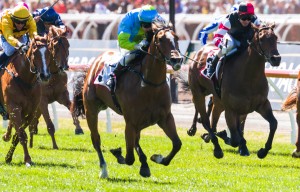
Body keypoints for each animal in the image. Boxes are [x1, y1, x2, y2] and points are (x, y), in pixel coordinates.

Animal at [0, 35, 51, 166]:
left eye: (49, 53)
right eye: (35, 53)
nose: (45, 76)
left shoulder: (30, 111)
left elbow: (18, 135)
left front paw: (9, 157)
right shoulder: (15, 107)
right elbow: (21, 134)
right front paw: (28, 159)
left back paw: (6, 136)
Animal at [71, 21, 183, 178]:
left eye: (176, 37)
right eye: (161, 39)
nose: (176, 59)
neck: (149, 84)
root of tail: (95, 63)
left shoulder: (165, 117)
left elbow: (177, 144)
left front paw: (157, 158)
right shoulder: (131, 122)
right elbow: (129, 158)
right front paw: (118, 153)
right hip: (91, 110)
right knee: (96, 139)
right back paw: (104, 169)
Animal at [182, 23, 282, 159]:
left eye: (275, 37)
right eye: (261, 39)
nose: (276, 59)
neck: (249, 77)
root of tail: (198, 53)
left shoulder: (261, 105)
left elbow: (273, 124)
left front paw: (263, 151)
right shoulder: (231, 109)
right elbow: (235, 138)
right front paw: (224, 136)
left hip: (216, 99)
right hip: (198, 92)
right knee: (205, 119)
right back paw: (215, 146)